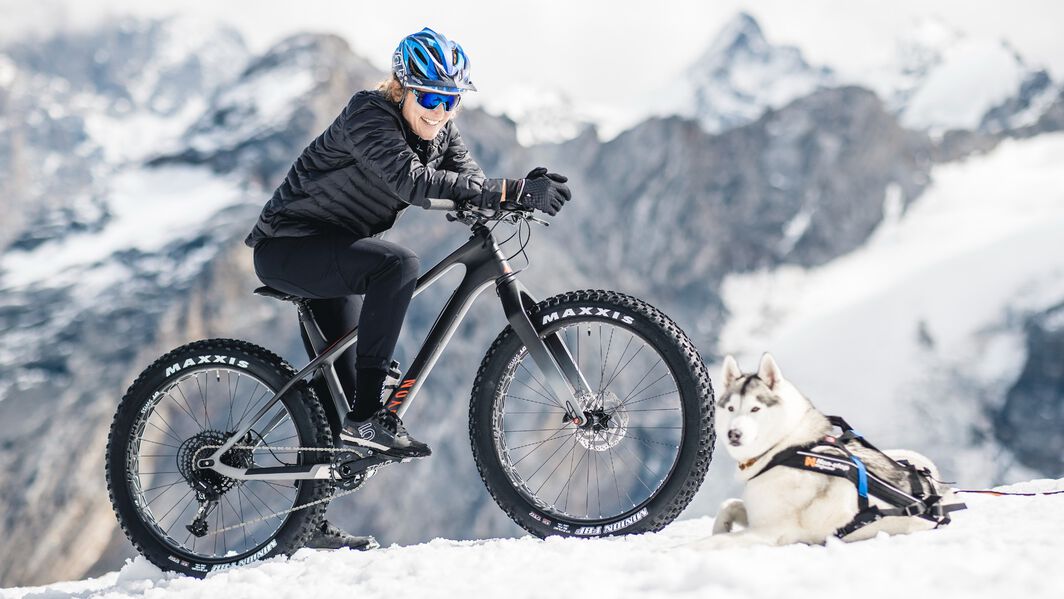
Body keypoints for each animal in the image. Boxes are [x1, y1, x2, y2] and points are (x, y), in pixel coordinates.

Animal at [697, 353, 957, 548]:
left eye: (755, 409)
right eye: (731, 408)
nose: (734, 434)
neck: (784, 448)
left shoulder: (769, 531)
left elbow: (711, 542)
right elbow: (729, 505)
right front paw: (720, 526)